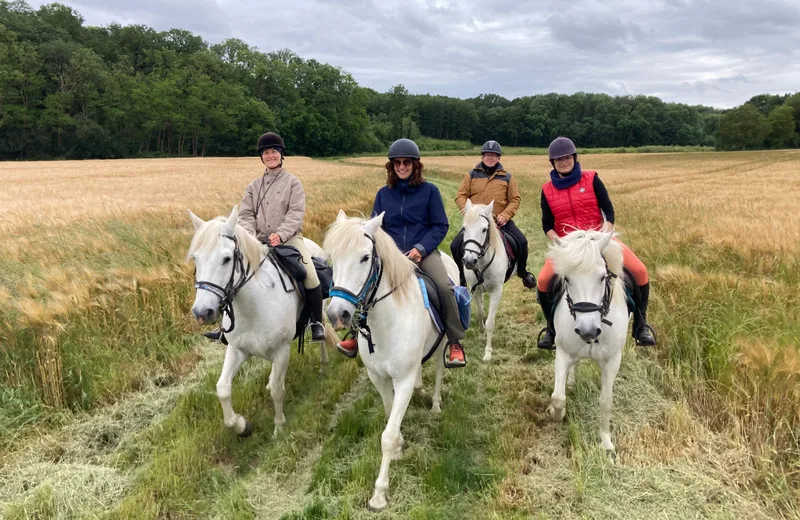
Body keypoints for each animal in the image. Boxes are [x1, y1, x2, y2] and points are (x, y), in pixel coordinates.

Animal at [322, 209, 460, 510]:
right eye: (331, 259)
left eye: (365, 257)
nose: (337, 315)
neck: (384, 323)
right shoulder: (379, 378)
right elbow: (389, 418)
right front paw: (398, 445)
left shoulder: (402, 380)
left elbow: (386, 435)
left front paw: (379, 493)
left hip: (444, 342)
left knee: (439, 370)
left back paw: (435, 403)